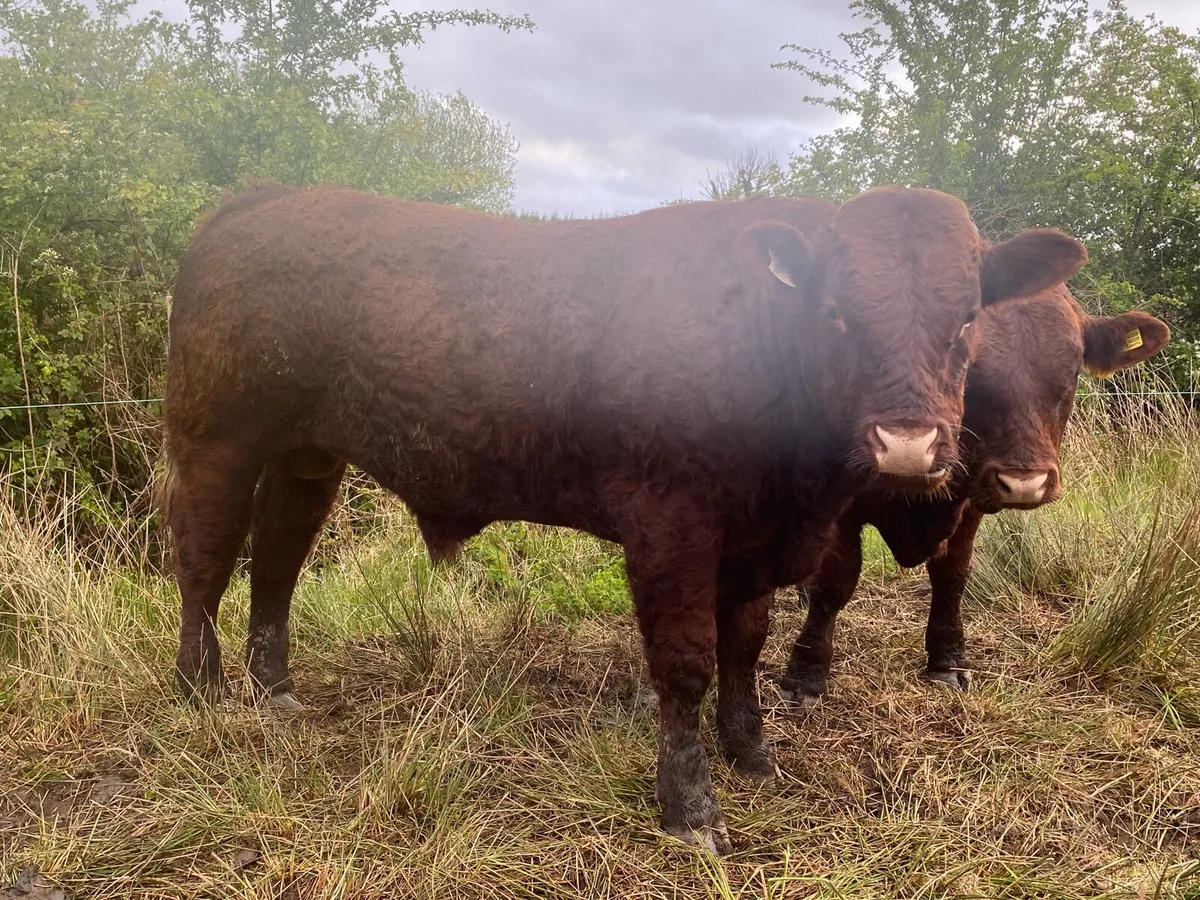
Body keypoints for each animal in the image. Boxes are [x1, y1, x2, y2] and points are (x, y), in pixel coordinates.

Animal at [160, 184, 1087, 853]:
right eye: (836, 314)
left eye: (966, 318)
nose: (907, 444)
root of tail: (261, 201)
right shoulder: (670, 532)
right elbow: (685, 665)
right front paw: (691, 810)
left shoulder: (756, 543)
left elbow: (743, 648)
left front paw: (753, 753)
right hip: (216, 439)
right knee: (206, 555)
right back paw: (204, 689)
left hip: (305, 454)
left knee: (279, 556)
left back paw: (276, 690)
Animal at [779, 285, 1170, 704]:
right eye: (970, 368)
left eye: (1071, 370)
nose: (1024, 482)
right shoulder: (840, 504)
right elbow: (835, 582)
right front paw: (804, 675)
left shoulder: (967, 503)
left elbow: (952, 576)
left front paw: (947, 661)